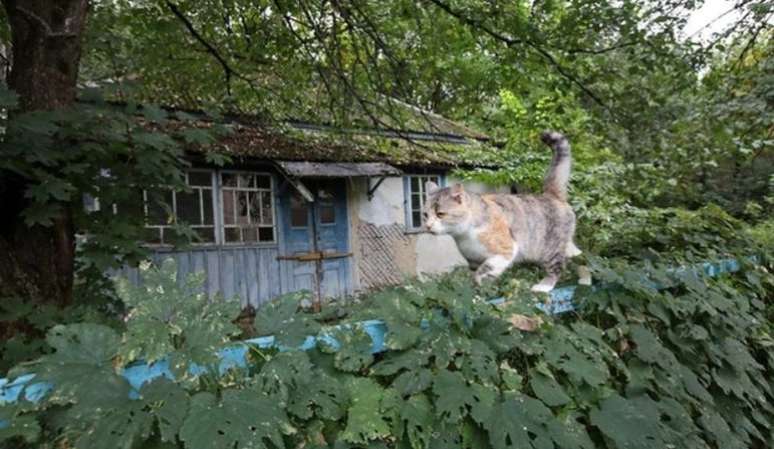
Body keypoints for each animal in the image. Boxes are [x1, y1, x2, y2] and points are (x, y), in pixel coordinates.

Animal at [424, 130, 584, 292]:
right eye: (425, 215)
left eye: (440, 214)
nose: (428, 226)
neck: (464, 235)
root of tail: (550, 194)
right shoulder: (473, 261)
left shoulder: (506, 250)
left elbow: (485, 269)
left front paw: (480, 281)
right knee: (579, 255)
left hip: (550, 249)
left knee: (557, 267)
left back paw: (543, 286)